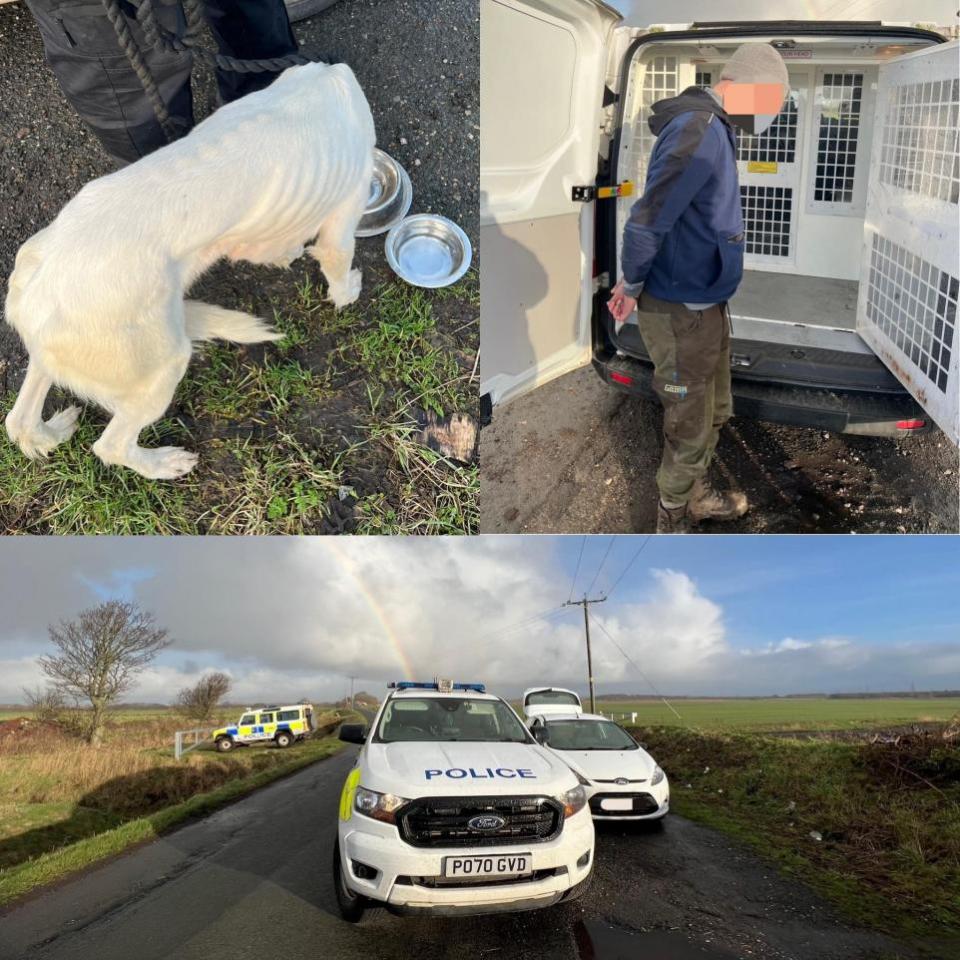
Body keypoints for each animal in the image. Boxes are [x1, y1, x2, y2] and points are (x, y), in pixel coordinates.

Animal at [6, 61, 376, 480]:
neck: (324, 81)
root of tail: (33, 292)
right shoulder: (345, 211)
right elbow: (336, 261)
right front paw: (348, 290)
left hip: (56, 355)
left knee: (19, 420)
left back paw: (51, 430)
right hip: (161, 367)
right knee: (111, 446)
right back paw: (163, 464)